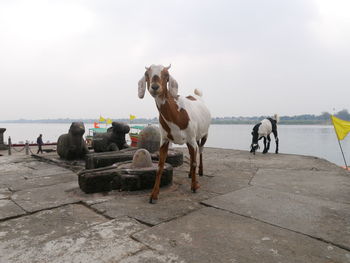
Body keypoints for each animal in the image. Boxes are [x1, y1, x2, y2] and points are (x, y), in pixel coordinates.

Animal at [139, 64, 211, 204]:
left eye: (166, 75)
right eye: (146, 74)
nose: (155, 87)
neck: (177, 114)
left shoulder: (191, 138)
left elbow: (194, 162)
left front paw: (194, 186)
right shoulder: (164, 140)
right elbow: (160, 166)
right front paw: (153, 195)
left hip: (204, 134)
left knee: (200, 150)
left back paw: (200, 171)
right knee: (193, 154)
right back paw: (190, 174)